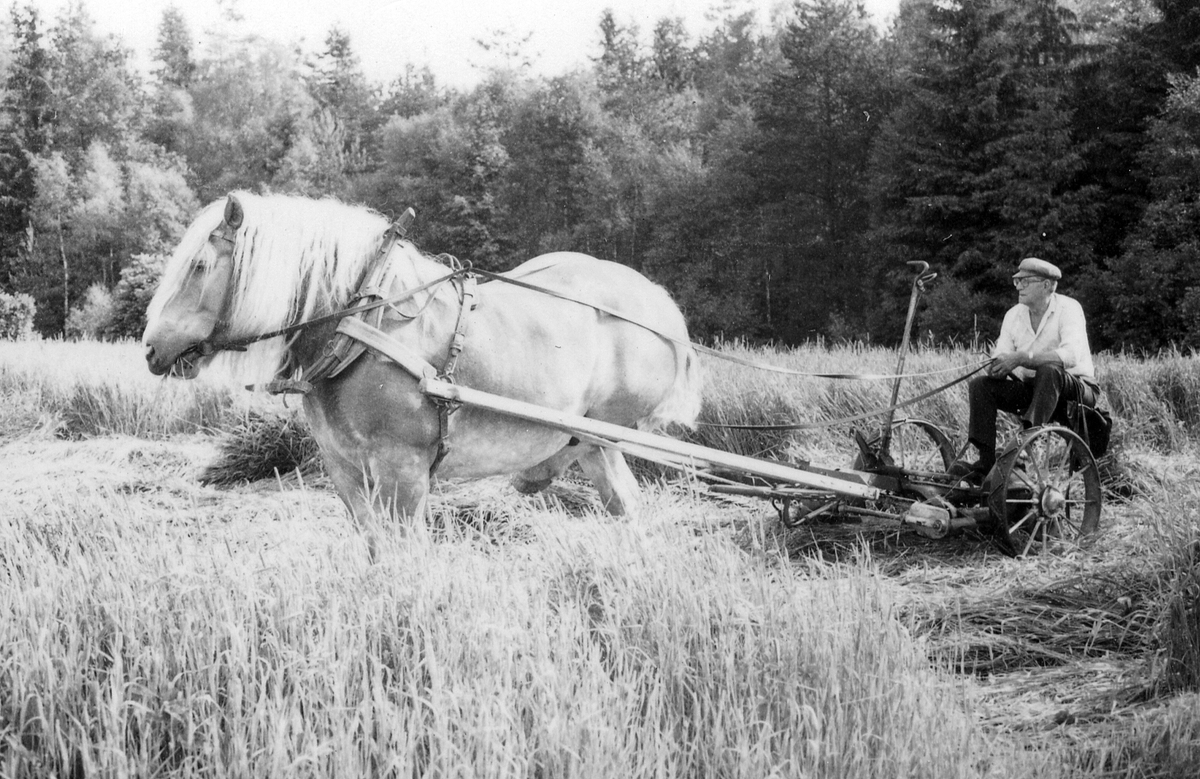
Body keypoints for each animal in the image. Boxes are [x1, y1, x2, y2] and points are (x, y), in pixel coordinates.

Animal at [142, 190, 700, 544]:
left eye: (198, 266)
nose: (150, 349)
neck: (361, 327)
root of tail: (659, 306)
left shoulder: (402, 471)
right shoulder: (345, 471)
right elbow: (374, 553)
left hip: (606, 433)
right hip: (595, 444)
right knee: (623, 508)